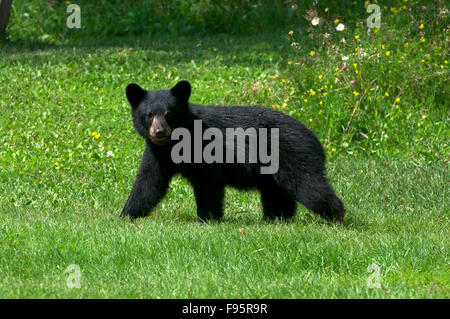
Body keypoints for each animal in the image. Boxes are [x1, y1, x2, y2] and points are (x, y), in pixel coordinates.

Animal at [119, 80, 344, 222]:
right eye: (149, 115)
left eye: (169, 113)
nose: (159, 132)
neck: (174, 143)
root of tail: (316, 140)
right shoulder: (157, 154)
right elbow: (149, 182)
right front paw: (126, 215)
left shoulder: (205, 149)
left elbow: (208, 182)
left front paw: (207, 219)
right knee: (277, 194)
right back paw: (277, 219)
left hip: (294, 155)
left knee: (310, 186)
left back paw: (336, 216)